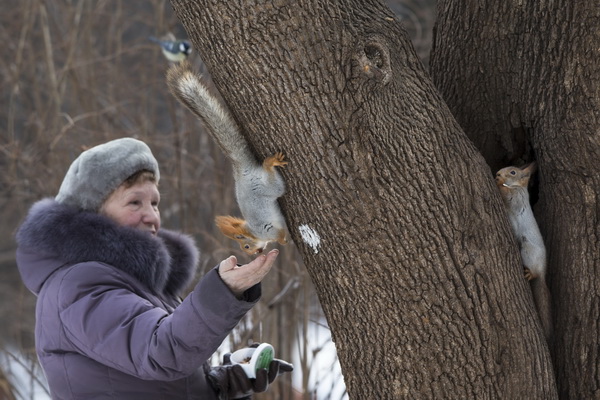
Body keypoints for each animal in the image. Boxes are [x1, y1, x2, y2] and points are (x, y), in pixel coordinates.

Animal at [164, 62, 286, 256]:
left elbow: (278, 235)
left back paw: (270, 162)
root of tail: (243, 170)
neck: (253, 232)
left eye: (245, 246)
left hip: (268, 186)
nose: (255, 254)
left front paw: (283, 240)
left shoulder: (268, 228)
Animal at [496, 163, 552, 344]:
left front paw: (499, 183)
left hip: (528, 250)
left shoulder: (517, 198)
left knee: (534, 273)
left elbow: (509, 198)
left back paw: (530, 273)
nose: (498, 173)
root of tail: (543, 270)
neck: (517, 187)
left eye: (513, 172)